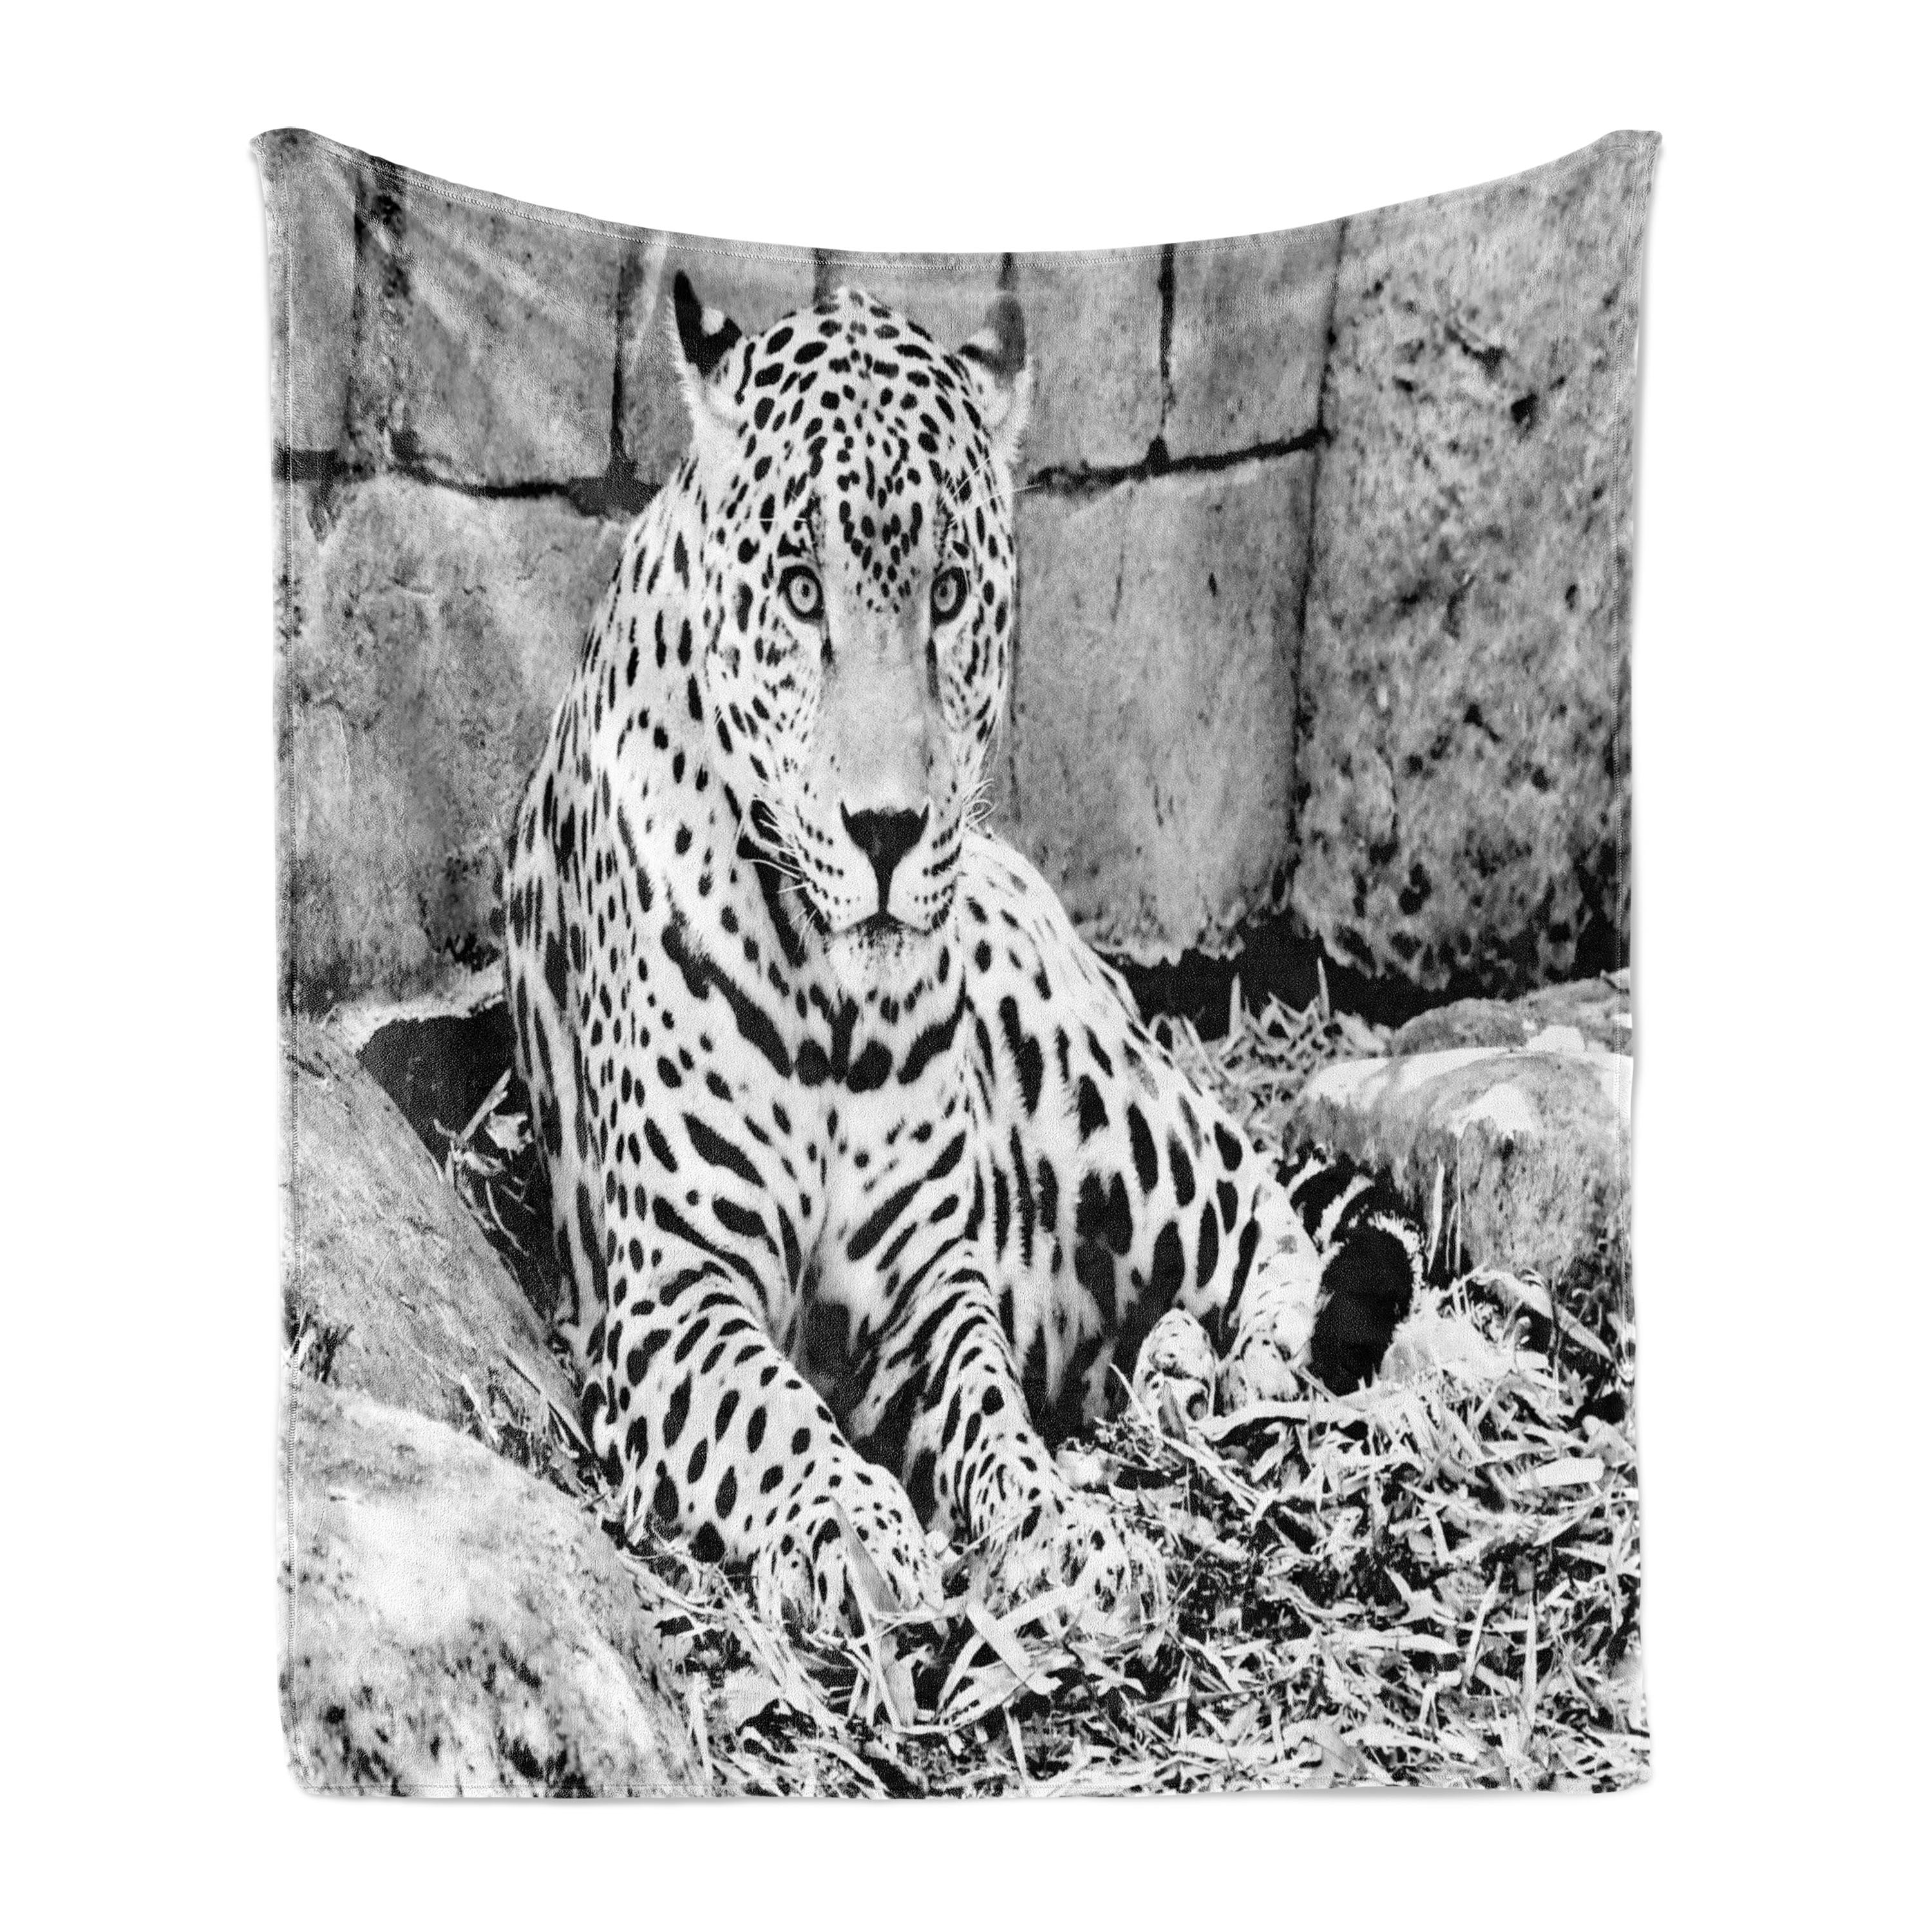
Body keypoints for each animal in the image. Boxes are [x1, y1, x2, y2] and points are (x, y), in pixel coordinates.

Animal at [502, 270, 1421, 1635]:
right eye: (801, 589)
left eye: (946, 594)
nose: (887, 829)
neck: (833, 1009)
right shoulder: (670, 1293)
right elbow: (774, 1413)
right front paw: (851, 1525)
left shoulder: (932, 1288)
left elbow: (993, 1420)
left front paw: (1067, 1532)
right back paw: (1170, 1370)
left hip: (1103, 1101)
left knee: (1259, 1201)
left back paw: (1246, 1365)